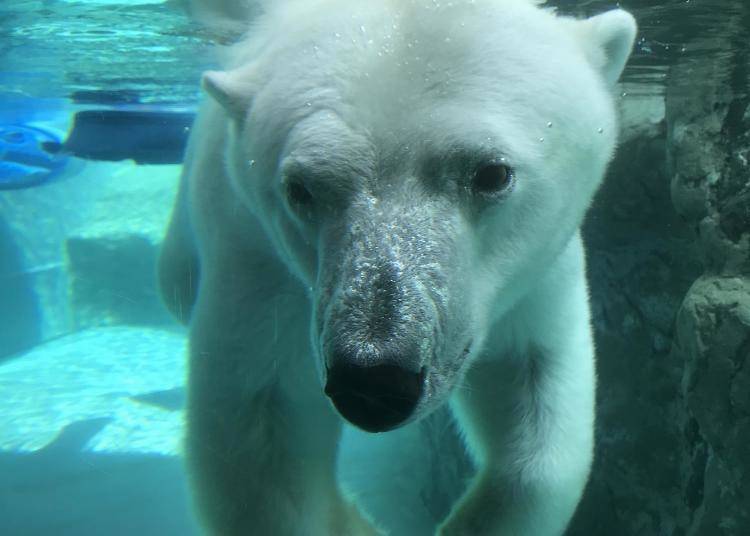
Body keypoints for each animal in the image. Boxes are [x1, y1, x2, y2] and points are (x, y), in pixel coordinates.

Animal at [162, 2, 636, 532]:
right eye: (299, 189)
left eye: (493, 173)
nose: (374, 381)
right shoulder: (256, 257)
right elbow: (264, 423)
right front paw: (352, 521)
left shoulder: (538, 269)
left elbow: (533, 382)